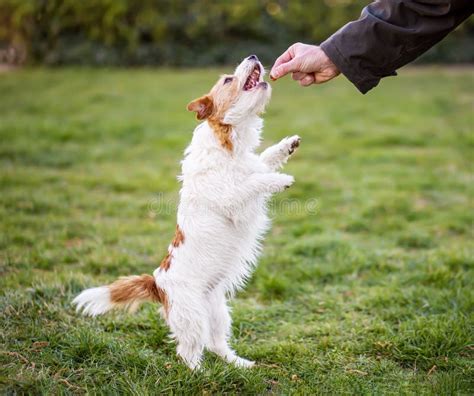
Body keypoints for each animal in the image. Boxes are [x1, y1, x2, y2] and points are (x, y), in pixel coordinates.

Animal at [74, 54, 302, 370]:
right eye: (227, 80)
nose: (253, 56)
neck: (229, 144)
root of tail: (157, 283)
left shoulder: (252, 164)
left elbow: (265, 160)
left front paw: (287, 145)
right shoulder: (232, 197)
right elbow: (254, 181)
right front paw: (279, 180)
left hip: (218, 312)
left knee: (217, 344)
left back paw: (238, 364)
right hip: (192, 316)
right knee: (189, 351)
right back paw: (201, 374)